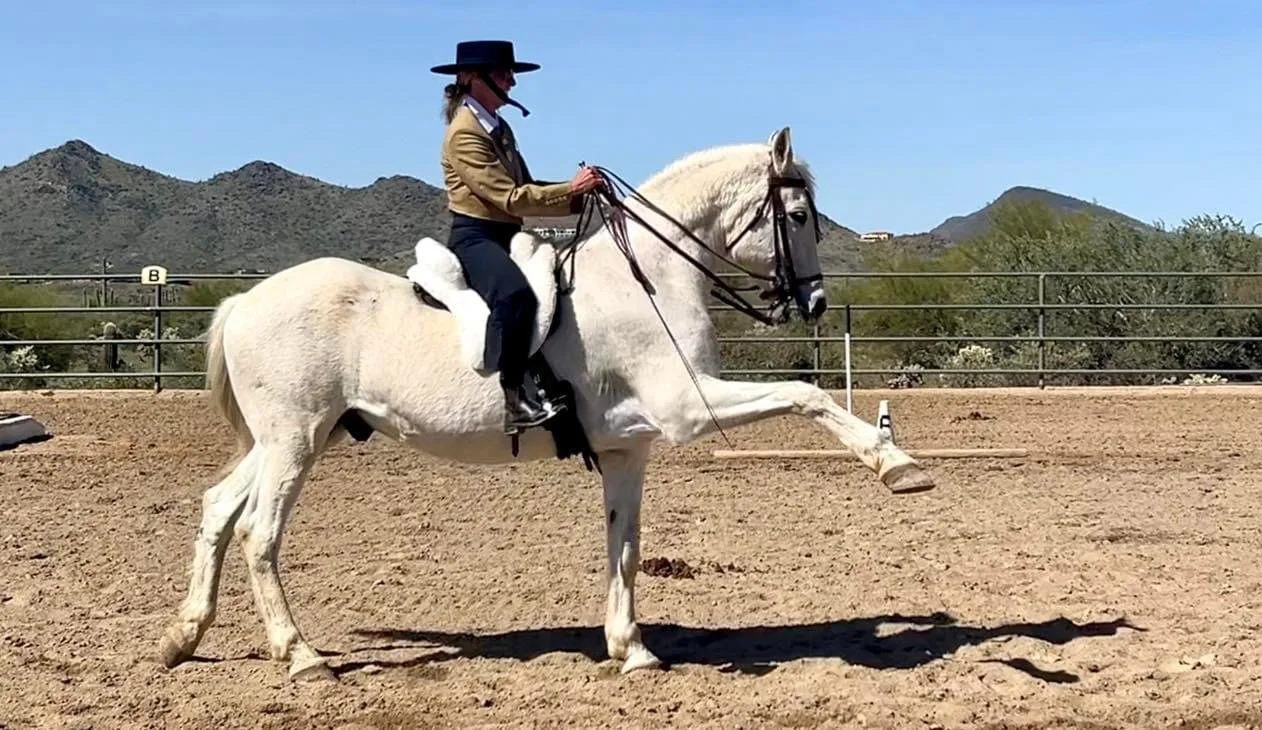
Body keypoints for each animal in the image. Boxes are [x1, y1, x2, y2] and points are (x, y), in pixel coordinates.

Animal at [154, 126, 937, 682]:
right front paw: (896, 465)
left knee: (219, 509)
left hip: (288, 438)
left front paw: (632, 650)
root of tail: (247, 300)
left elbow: (626, 546)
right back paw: (302, 657)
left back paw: (182, 638)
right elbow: (806, 394)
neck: (647, 278)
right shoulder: (690, 407)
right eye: (798, 213)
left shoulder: (628, 446)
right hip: (295, 439)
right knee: (259, 531)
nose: (815, 302)